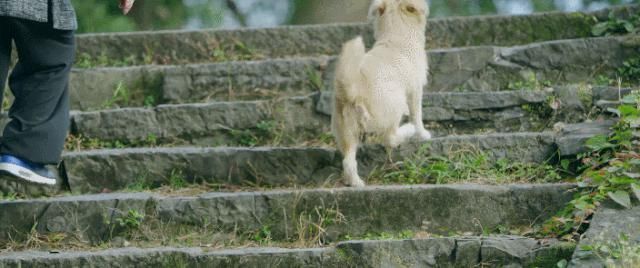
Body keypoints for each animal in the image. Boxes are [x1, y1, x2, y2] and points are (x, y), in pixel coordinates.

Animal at [330, 0, 430, 186]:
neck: (396, 35)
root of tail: (352, 91)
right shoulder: (415, 90)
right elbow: (417, 115)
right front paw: (423, 134)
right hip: (394, 106)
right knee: (390, 138)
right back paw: (408, 130)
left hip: (347, 131)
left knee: (348, 161)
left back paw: (357, 183)